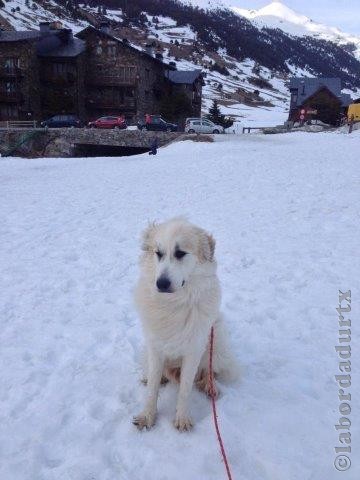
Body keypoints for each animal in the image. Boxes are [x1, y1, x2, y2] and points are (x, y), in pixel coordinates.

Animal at [134, 218, 238, 432]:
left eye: (180, 253)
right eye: (158, 253)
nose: (161, 283)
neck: (174, 303)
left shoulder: (193, 351)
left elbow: (185, 389)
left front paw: (182, 419)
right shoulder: (155, 347)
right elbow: (152, 389)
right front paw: (147, 416)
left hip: (217, 338)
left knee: (210, 371)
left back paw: (210, 386)